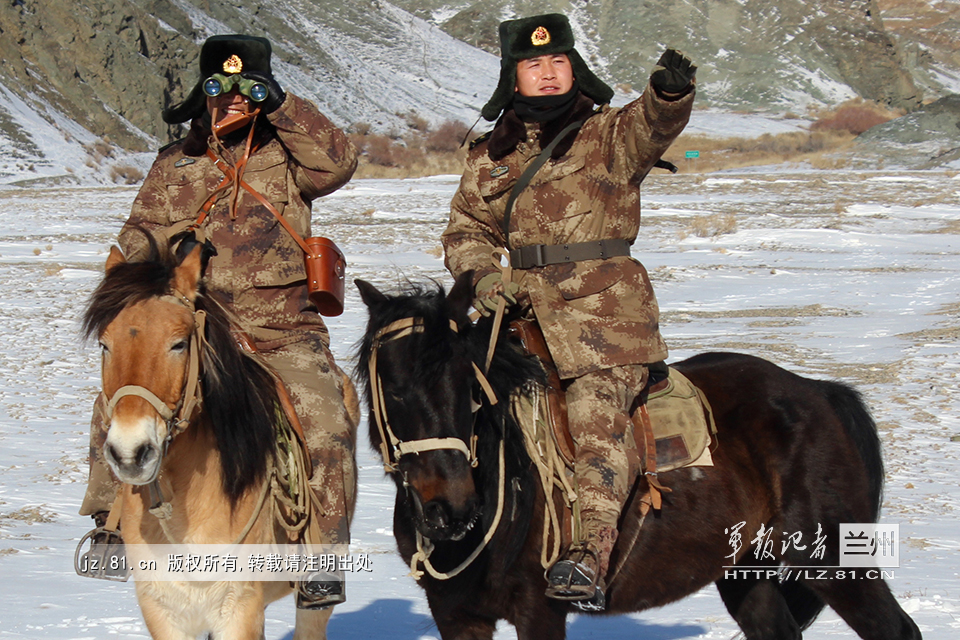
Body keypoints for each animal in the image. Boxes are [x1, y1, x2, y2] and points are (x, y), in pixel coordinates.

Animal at [354, 274, 924, 640]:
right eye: (393, 389)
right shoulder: (457, 616)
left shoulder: (539, 609)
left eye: (470, 386)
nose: (449, 509)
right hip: (745, 571)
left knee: (896, 630)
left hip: (832, 561)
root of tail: (821, 392)